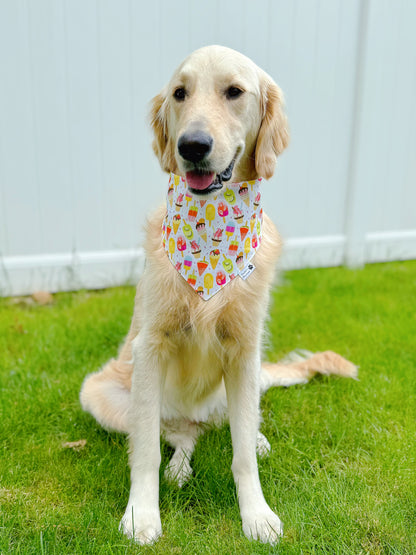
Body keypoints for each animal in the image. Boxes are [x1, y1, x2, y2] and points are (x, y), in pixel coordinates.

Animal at [80, 44, 358, 548]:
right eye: (179, 93)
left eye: (234, 91)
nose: (192, 146)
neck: (211, 228)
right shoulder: (150, 346)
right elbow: (145, 450)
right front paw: (141, 514)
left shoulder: (244, 350)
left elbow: (241, 451)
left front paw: (256, 515)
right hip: (102, 395)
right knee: (178, 436)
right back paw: (179, 468)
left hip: (242, 382)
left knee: (232, 425)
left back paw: (256, 439)